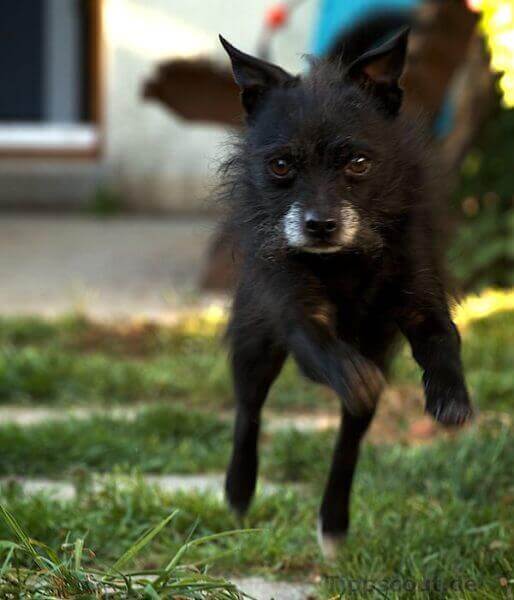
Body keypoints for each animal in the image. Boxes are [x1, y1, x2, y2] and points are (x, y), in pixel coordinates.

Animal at [216, 25, 472, 556]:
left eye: (357, 162)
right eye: (280, 165)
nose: (320, 225)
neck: (345, 260)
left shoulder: (420, 301)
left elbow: (444, 338)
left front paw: (450, 395)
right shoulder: (297, 312)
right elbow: (319, 343)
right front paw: (349, 372)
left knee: (349, 441)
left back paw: (333, 520)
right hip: (255, 343)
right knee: (249, 411)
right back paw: (239, 490)